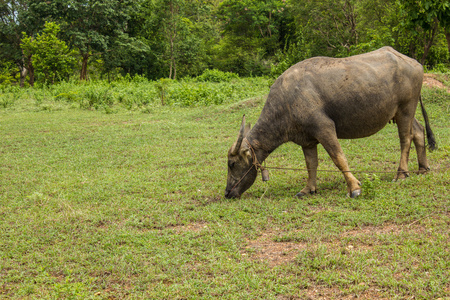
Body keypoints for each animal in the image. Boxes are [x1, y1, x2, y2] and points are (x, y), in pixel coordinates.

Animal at [225, 45, 436, 198]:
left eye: (232, 164)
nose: (228, 193)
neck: (287, 102)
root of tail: (413, 62)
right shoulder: (307, 140)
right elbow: (311, 164)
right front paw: (308, 189)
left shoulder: (324, 128)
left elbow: (338, 158)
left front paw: (354, 187)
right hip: (402, 112)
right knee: (418, 131)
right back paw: (423, 168)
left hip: (406, 108)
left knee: (405, 139)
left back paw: (401, 173)